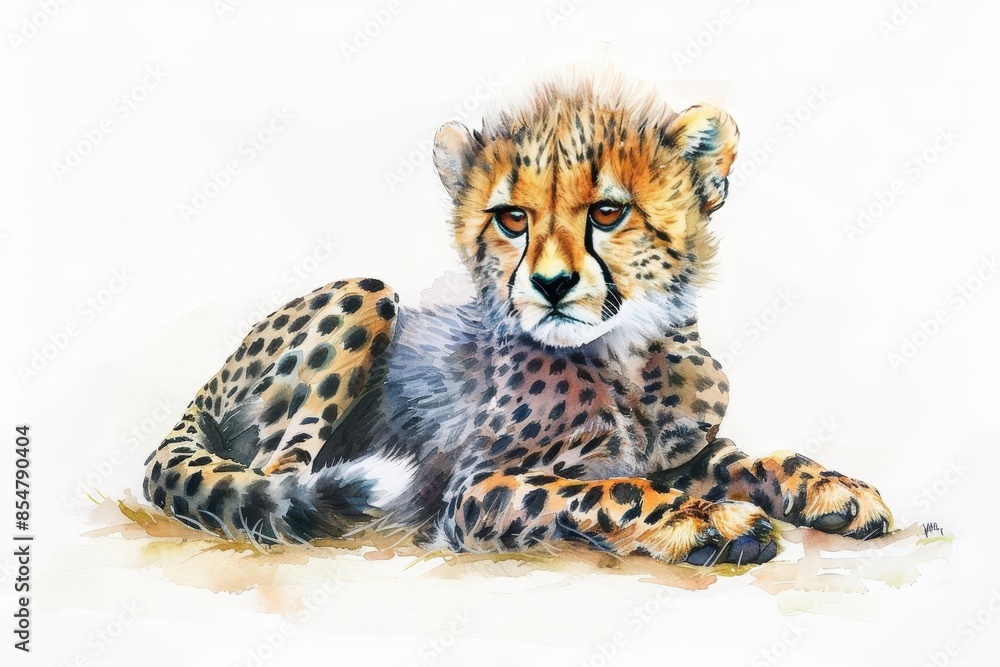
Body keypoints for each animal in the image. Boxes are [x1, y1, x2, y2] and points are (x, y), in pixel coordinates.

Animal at [143, 70, 893, 566]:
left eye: (607, 212)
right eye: (511, 219)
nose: (552, 284)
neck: (627, 354)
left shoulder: (684, 449)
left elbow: (750, 455)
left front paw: (836, 488)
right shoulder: (476, 488)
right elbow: (612, 491)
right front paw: (709, 521)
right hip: (365, 292)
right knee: (278, 479)